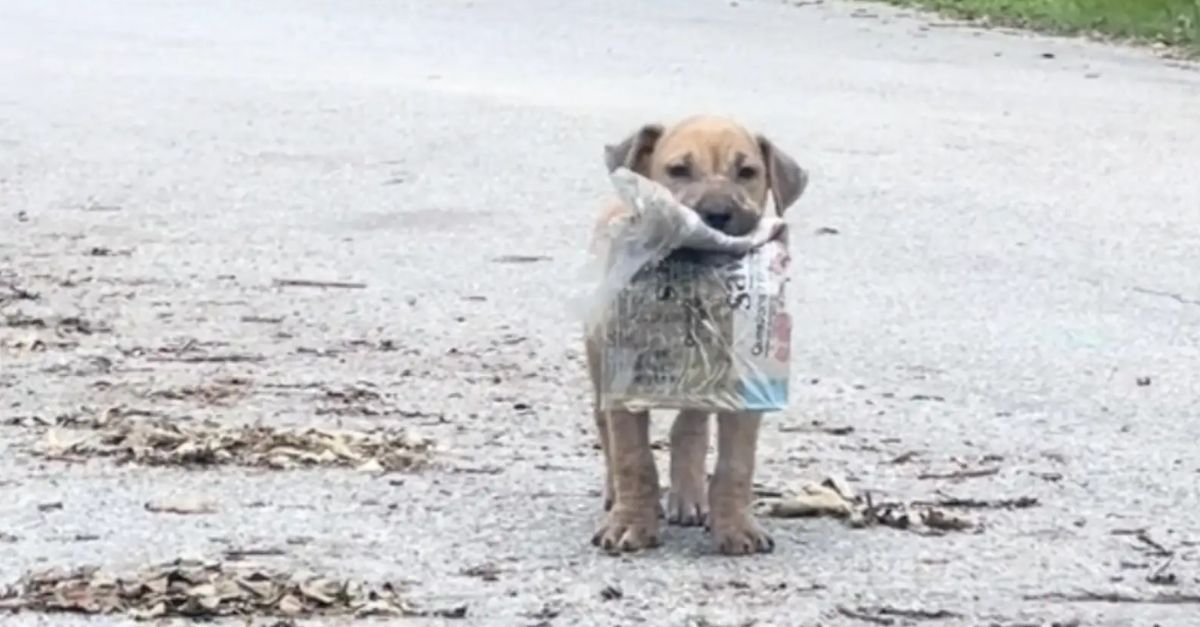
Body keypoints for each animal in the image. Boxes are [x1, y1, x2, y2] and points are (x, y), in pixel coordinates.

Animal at [583, 115, 806, 552]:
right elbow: (633, 457)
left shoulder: (744, 387)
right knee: (606, 430)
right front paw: (630, 524)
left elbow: (736, 464)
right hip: (598, 359)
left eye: (747, 172)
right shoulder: (623, 382)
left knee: (689, 427)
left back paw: (689, 497)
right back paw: (616, 496)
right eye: (678, 170)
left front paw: (736, 528)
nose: (717, 214)